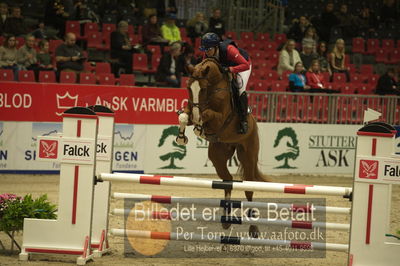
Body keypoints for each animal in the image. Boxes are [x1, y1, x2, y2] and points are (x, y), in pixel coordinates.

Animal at [177, 57, 270, 237]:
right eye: (188, 88)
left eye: (203, 88)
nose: (196, 116)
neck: (214, 84)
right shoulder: (191, 109)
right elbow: (184, 116)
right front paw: (181, 138)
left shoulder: (220, 118)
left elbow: (206, 114)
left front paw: (199, 127)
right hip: (218, 156)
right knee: (228, 181)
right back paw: (226, 220)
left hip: (248, 155)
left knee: (249, 188)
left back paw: (253, 228)